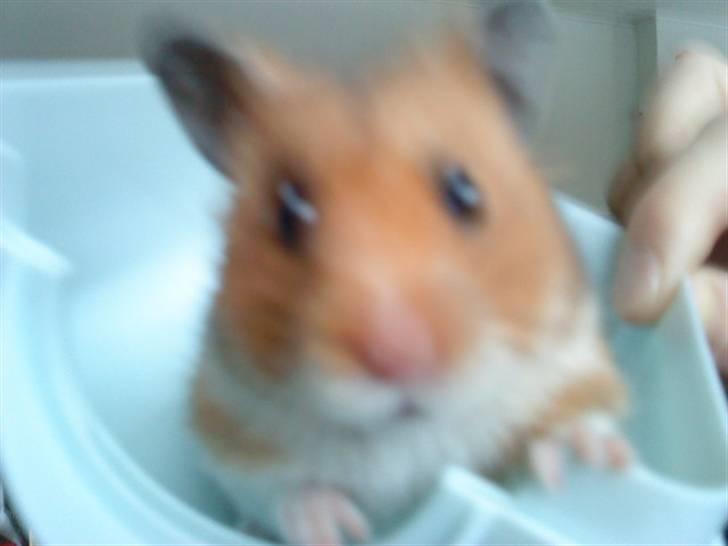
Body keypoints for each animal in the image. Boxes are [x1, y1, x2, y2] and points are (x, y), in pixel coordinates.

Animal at [143, 1, 631, 544]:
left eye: (465, 192)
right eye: (288, 213)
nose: (398, 357)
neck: (407, 436)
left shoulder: (575, 358)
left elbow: (583, 412)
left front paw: (590, 456)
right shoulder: (230, 433)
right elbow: (282, 493)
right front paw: (335, 527)